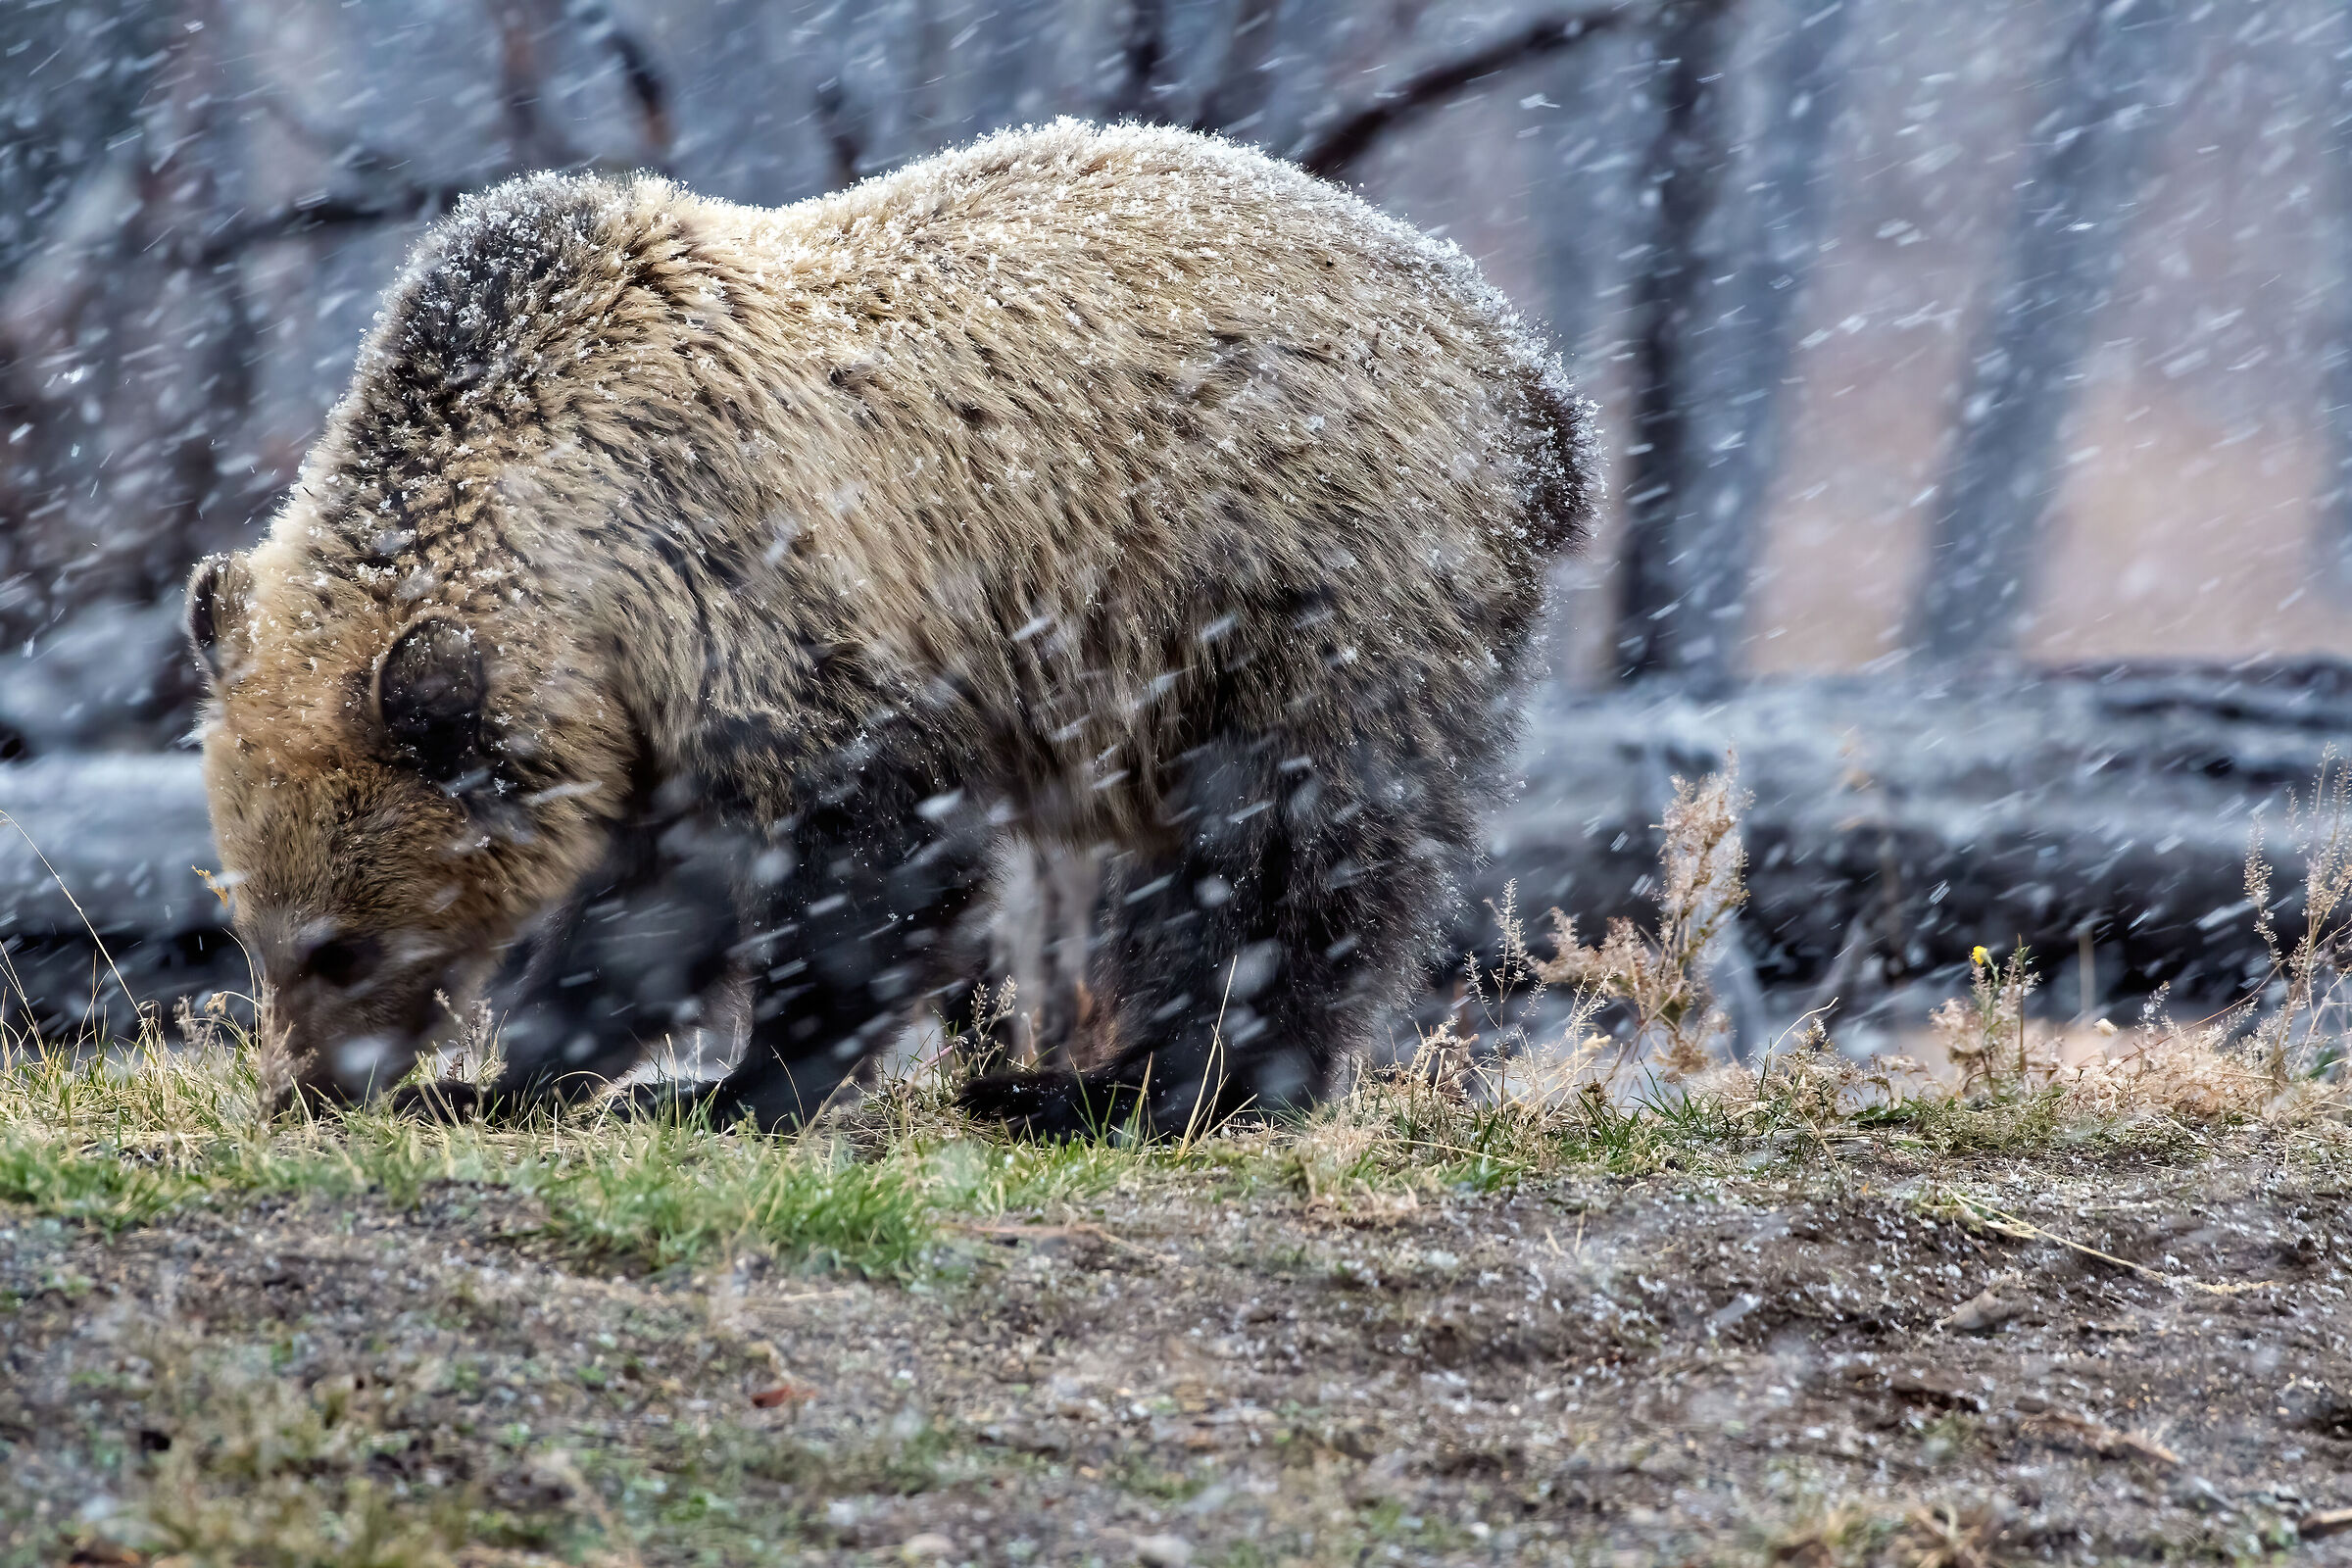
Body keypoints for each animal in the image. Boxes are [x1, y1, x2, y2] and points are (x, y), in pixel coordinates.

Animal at [185, 118, 1596, 1137]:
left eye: (338, 944)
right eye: (248, 928)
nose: (306, 1087)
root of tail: (1531, 384)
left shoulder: (775, 588)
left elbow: (876, 850)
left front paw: (742, 1089)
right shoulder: (662, 699)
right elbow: (656, 898)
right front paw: (517, 1077)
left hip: (1294, 576)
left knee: (1288, 846)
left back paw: (1137, 1092)